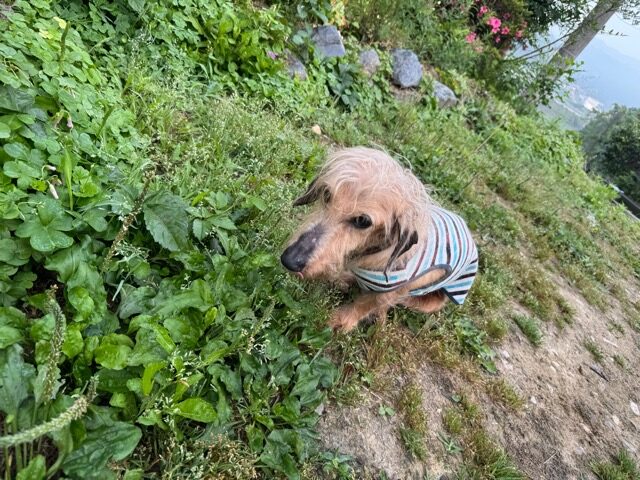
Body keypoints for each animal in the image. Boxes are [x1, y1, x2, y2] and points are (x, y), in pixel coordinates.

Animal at [281, 147, 478, 332]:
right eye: (327, 194)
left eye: (362, 221)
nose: (289, 260)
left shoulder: (391, 291)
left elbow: (366, 304)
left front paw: (341, 321)